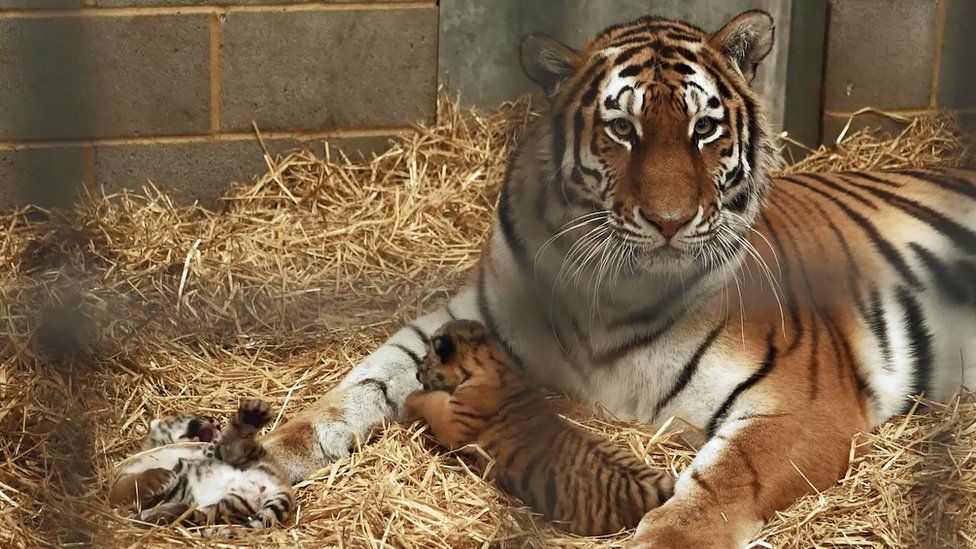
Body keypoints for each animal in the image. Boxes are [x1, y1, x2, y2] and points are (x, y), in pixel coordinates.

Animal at [264, 10, 976, 544]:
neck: (611, 293)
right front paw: (262, 457)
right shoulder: (467, 321)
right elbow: (360, 385)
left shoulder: (804, 401)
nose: (669, 221)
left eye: (704, 128)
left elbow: (717, 491)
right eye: (621, 129)